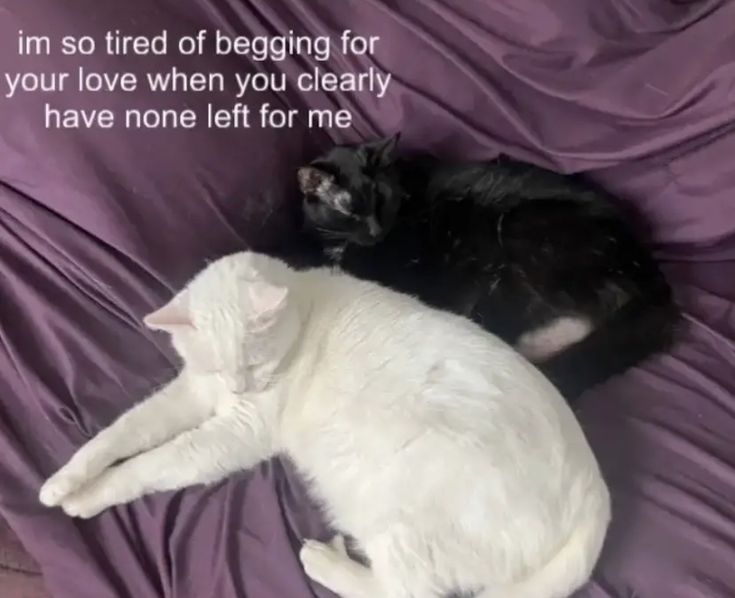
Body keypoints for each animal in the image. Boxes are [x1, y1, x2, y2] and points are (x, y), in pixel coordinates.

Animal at [38, 251, 608, 596]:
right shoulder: (194, 391)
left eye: (255, 364)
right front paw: (63, 483)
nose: (240, 388)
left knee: (406, 593)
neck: (305, 308)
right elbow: (123, 432)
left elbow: (153, 465)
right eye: (221, 367)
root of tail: (595, 492)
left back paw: (323, 563)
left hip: (400, 513)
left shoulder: (233, 435)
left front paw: (89, 498)